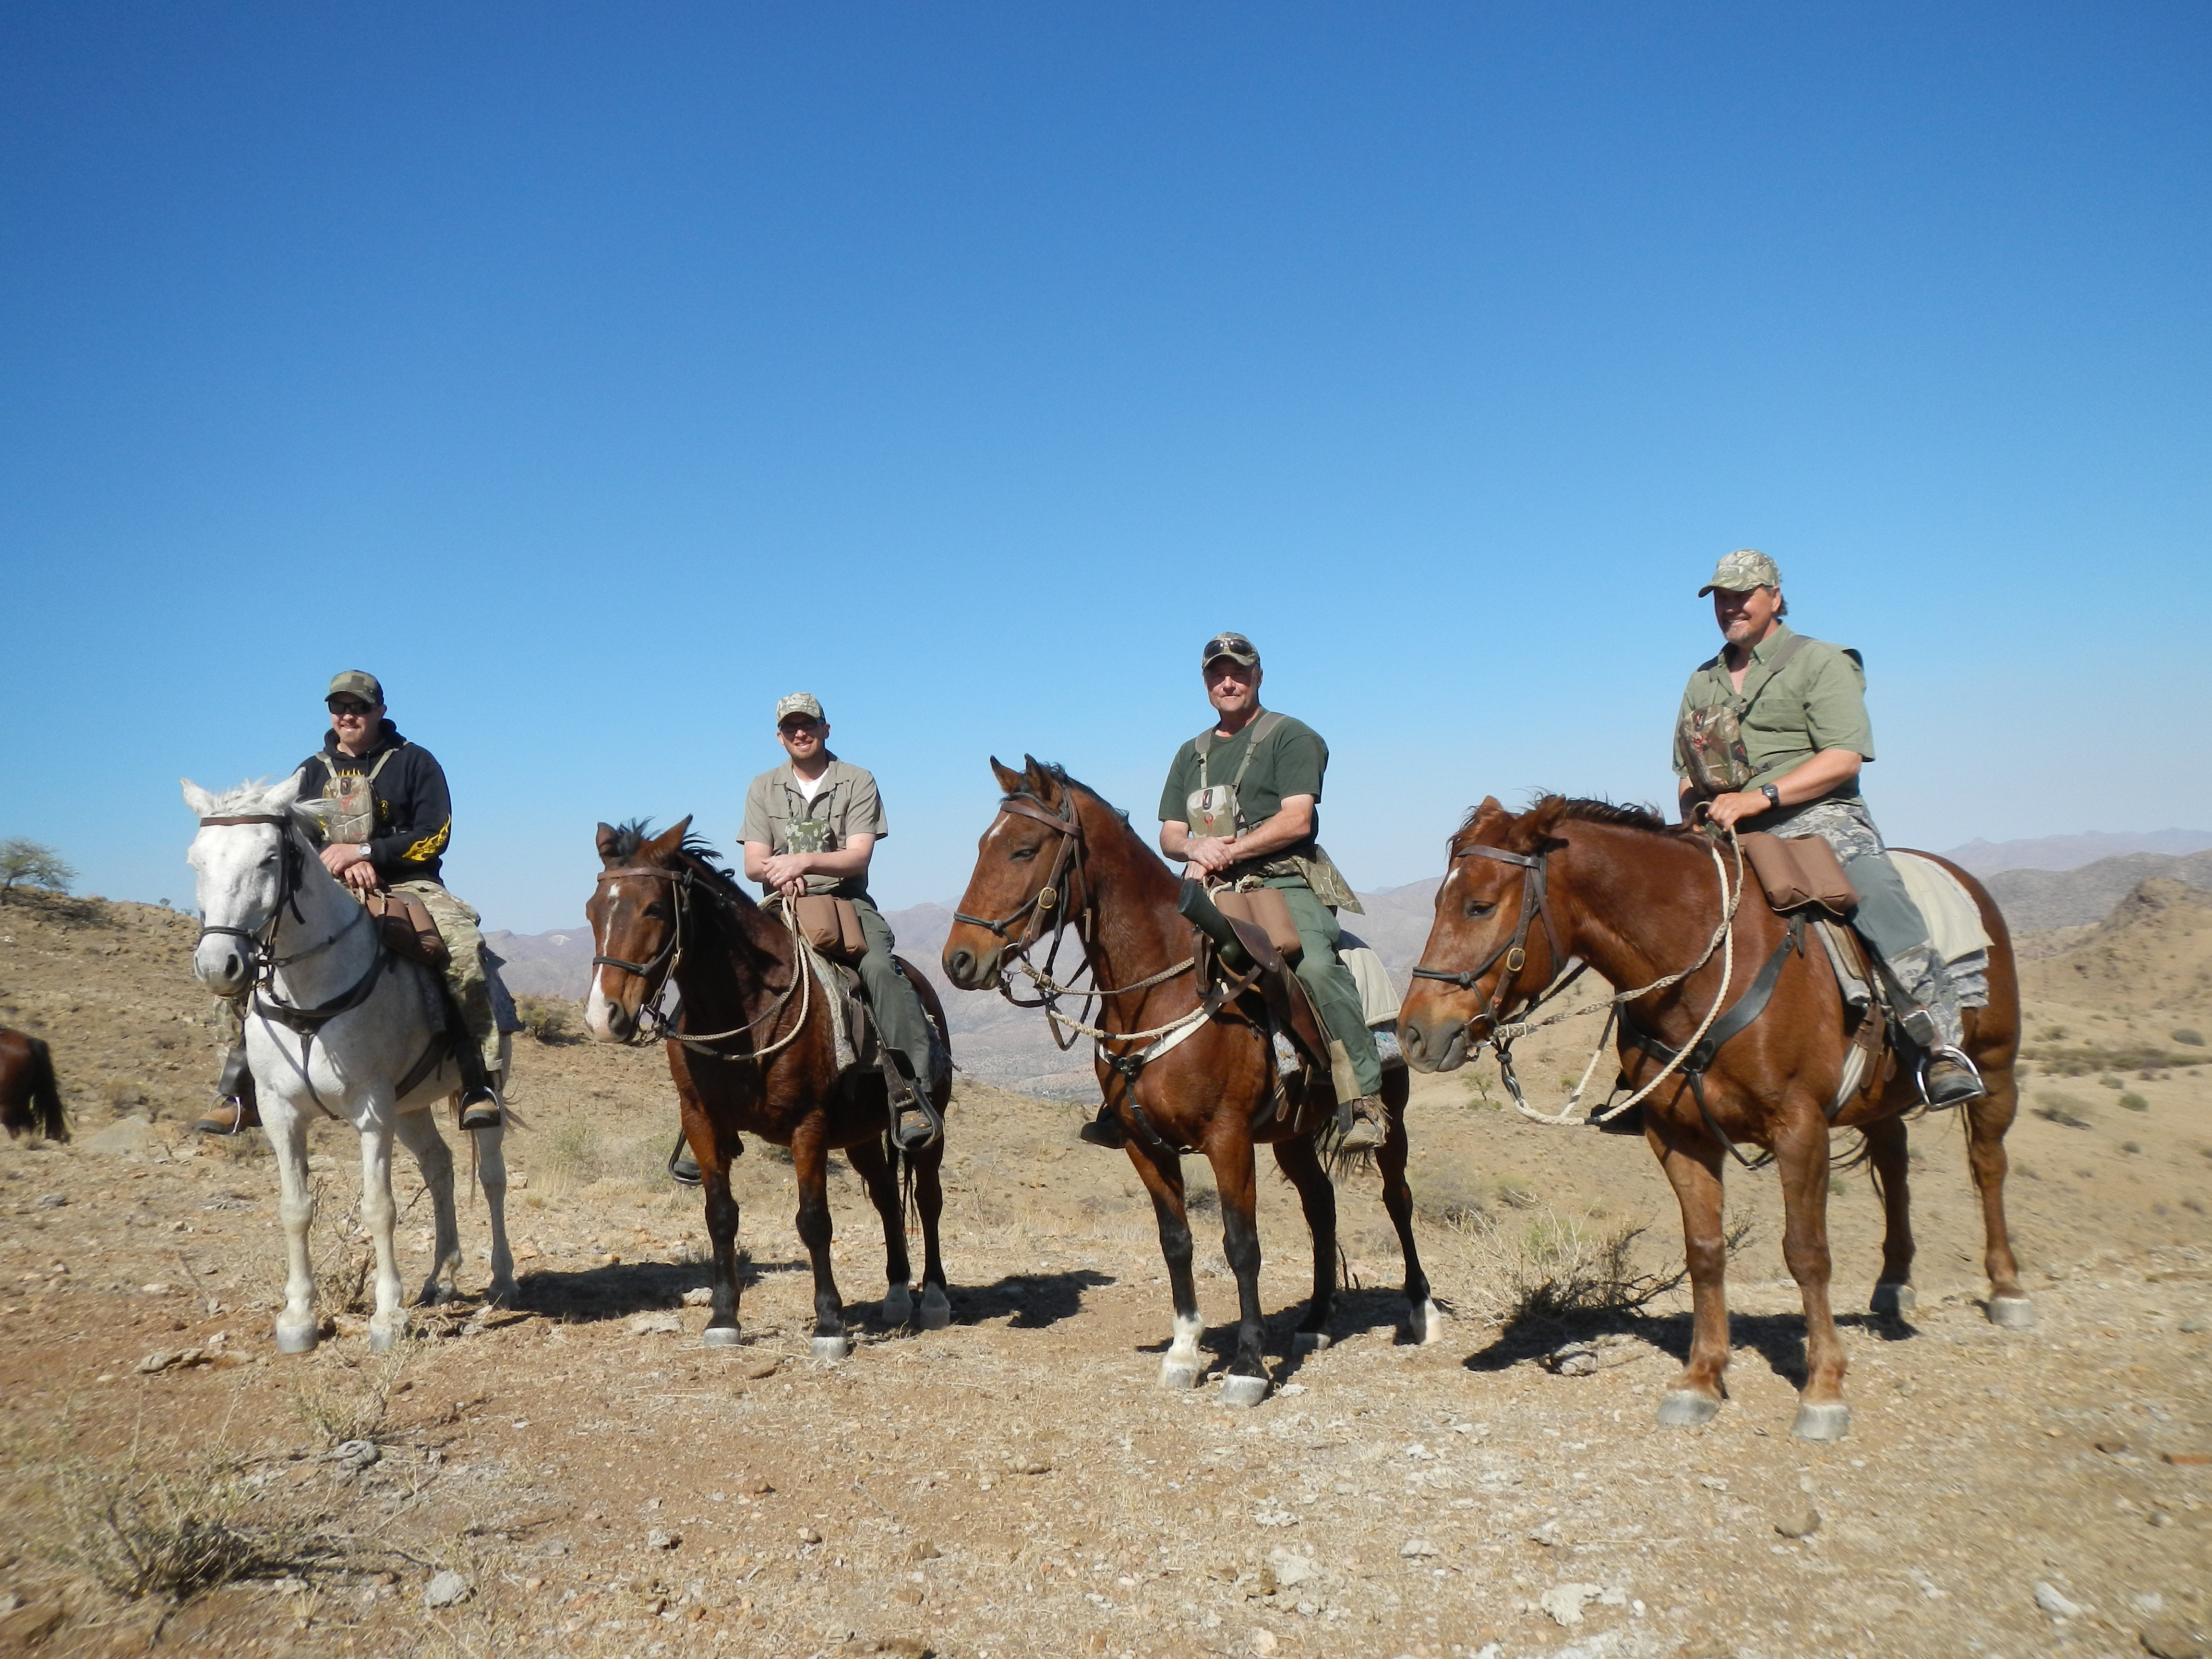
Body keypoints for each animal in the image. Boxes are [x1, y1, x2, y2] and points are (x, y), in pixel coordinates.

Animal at [183, 774, 515, 1354]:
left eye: (270, 859)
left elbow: (379, 1208)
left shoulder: (372, 1108)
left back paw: (501, 1280)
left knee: (492, 1176)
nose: (218, 965)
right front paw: (298, 1318)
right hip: (411, 1107)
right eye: (196, 861)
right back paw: (441, 1278)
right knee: (440, 1167)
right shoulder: (280, 1111)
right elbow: (295, 1210)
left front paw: (388, 1319)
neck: (311, 991)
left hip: (486, 1087)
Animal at [579, 823, 951, 1362]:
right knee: (886, 1197)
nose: (603, 1017)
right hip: (861, 1136)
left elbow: (815, 1221)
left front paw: (830, 1324)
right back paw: (899, 1293)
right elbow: (720, 1217)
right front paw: (724, 1318)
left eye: (653, 908)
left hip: (929, 1128)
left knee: (927, 1198)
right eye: (592, 910)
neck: (748, 1012)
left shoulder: (808, 1125)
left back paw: (936, 1298)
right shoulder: (701, 1120)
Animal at [938, 761, 1433, 1407]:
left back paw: (1421, 1312)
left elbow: (1241, 1246)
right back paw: (1317, 1322)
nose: (959, 961)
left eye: (1023, 849)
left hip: (1389, 1118)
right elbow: (1176, 1242)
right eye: (982, 846)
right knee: (1320, 1207)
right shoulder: (1142, 1144)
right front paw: (1183, 1350)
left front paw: (1248, 1364)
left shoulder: (1228, 1140)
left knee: (1397, 1199)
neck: (1157, 989)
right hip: (1292, 1137)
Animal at [1398, 801, 2026, 1442]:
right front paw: (1701, 1380)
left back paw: (2005, 1289)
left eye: (1479, 905)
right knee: (1895, 1165)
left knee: (1987, 1166)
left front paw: (1824, 1389)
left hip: (1996, 1068)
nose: (1416, 1033)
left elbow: (1807, 1253)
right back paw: (1894, 1284)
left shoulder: (1800, 1128)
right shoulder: (1680, 1136)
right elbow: (1703, 1251)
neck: (1706, 963)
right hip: (1880, 1099)